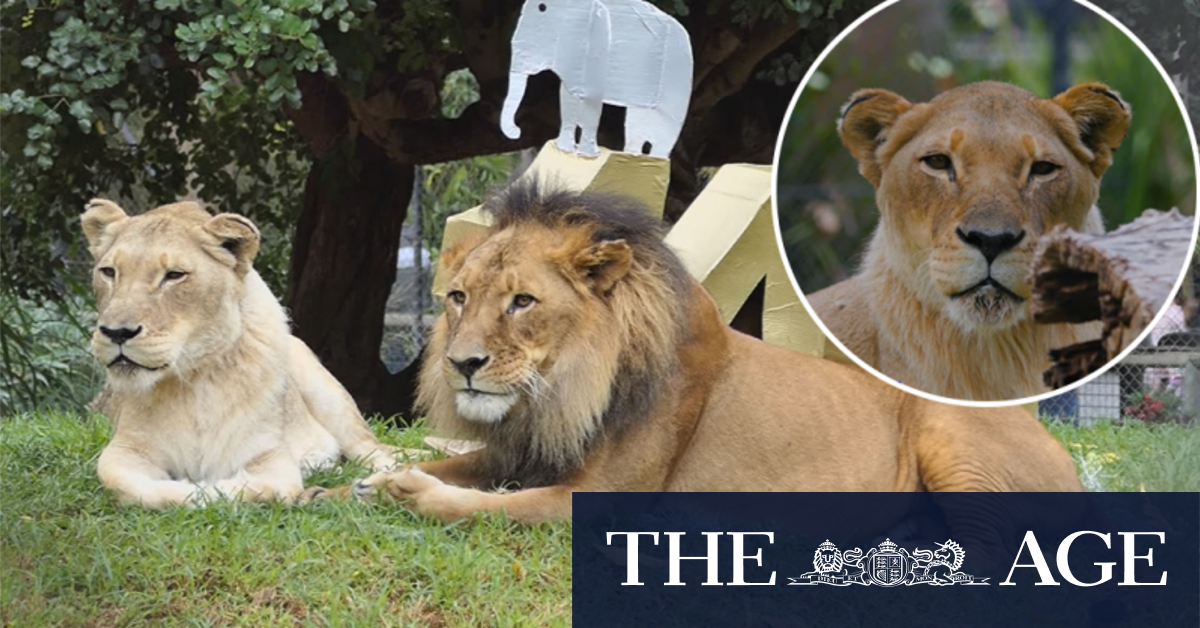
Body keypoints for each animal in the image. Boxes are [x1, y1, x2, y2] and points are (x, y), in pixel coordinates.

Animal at [81, 199, 398, 509]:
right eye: (109, 272)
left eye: (174, 276)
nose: (116, 332)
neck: (194, 381)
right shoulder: (125, 448)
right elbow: (137, 488)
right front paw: (189, 488)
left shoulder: (271, 458)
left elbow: (253, 490)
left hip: (331, 399)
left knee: (377, 452)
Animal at [314, 180, 1084, 535]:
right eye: (457, 297)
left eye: (522, 302)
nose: (462, 364)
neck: (561, 394)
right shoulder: (517, 454)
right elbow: (450, 466)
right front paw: (336, 490)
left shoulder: (605, 499)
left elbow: (490, 506)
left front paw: (406, 491)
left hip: (947, 437)